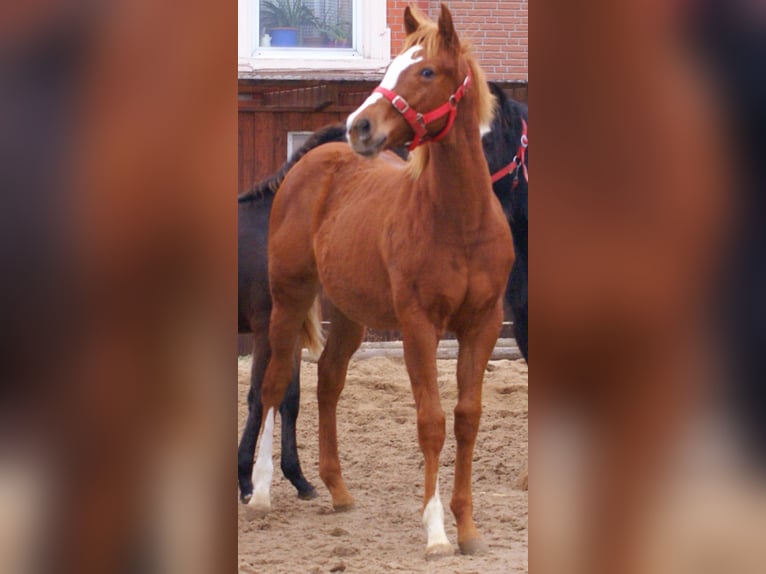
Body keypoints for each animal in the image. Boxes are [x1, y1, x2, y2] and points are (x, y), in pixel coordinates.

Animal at [248, 4, 513, 558]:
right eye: (392, 66)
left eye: (427, 71)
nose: (360, 126)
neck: (460, 221)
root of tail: (311, 164)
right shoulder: (418, 326)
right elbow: (431, 421)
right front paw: (436, 533)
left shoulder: (483, 324)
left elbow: (467, 418)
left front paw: (468, 529)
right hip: (289, 298)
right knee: (274, 383)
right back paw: (260, 493)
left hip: (351, 313)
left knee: (328, 381)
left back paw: (339, 491)